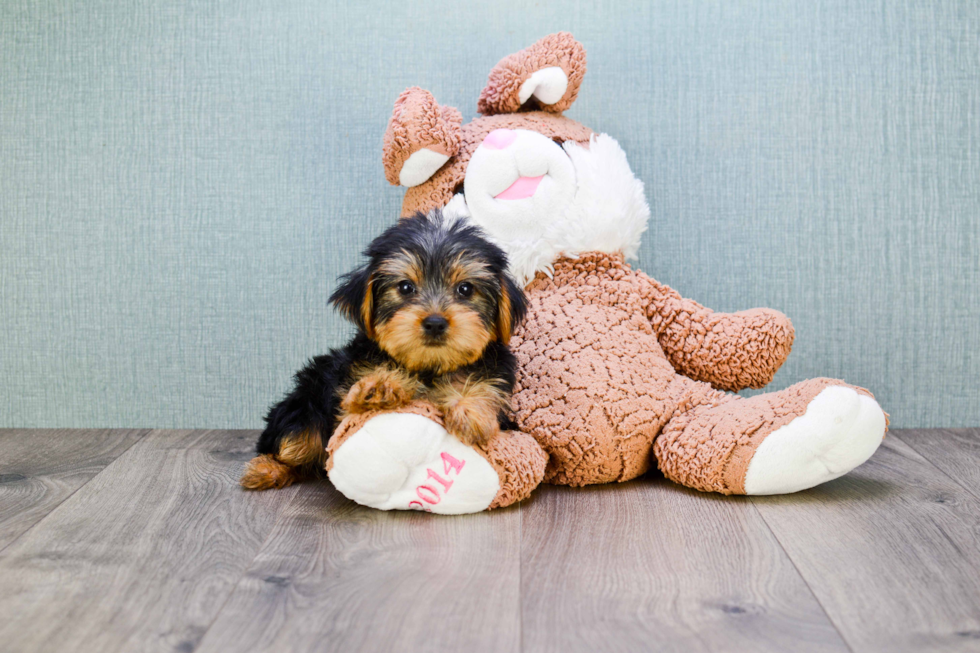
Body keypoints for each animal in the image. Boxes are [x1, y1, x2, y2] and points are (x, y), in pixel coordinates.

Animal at [239, 209, 528, 488]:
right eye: (405, 287)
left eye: (465, 289)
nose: (435, 322)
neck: (429, 367)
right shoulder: (346, 399)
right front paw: (381, 385)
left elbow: (482, 384)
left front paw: (469, 409)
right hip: (306, 401)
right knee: (295, 443)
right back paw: (266, 469)